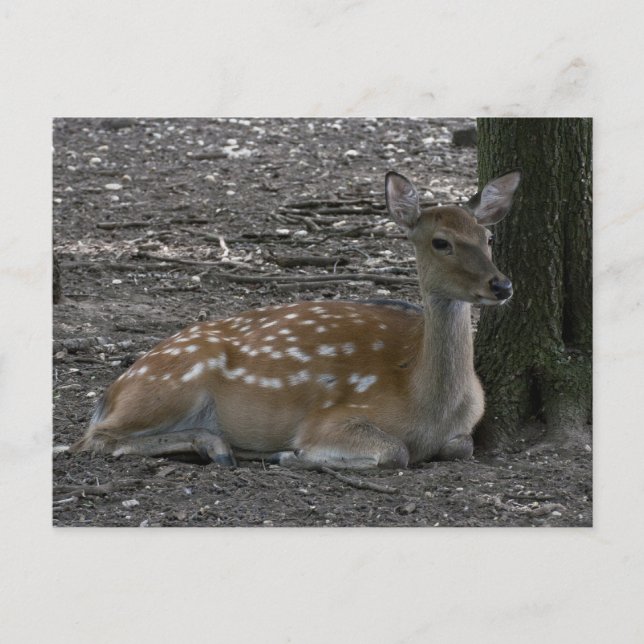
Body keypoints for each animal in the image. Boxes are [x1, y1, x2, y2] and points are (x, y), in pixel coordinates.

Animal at [71, 169, 520, 469]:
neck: (427, 404)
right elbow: (396, 451)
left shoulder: (463, 432)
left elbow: (460, 447)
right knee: (95, 439)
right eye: (441, 242)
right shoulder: (329, 419)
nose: (502, 285)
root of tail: (111, 392)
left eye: (488, 237)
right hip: (173, 384)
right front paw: (292, 455)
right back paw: (217, 446)